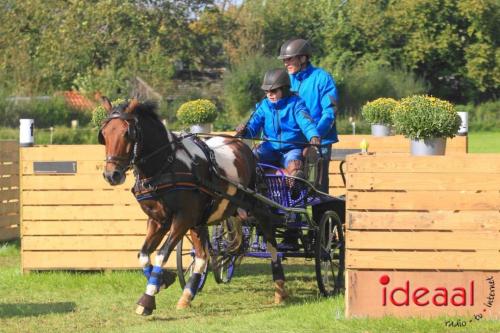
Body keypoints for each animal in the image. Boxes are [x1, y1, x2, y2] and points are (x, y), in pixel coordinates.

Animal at [96, 96, 290, 314]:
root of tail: (242, 145)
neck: (166, 165)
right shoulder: (158, 220)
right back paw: (188, 294)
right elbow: (144, 254)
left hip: (255, 206)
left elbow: (161, 254)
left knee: (270, 238)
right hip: (203, 220)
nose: (112, 175)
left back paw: (280, 288)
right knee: (202, 255)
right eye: (104, 134)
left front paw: (147, 298)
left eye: (127, 133)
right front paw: (164, 280)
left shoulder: (182, 218)